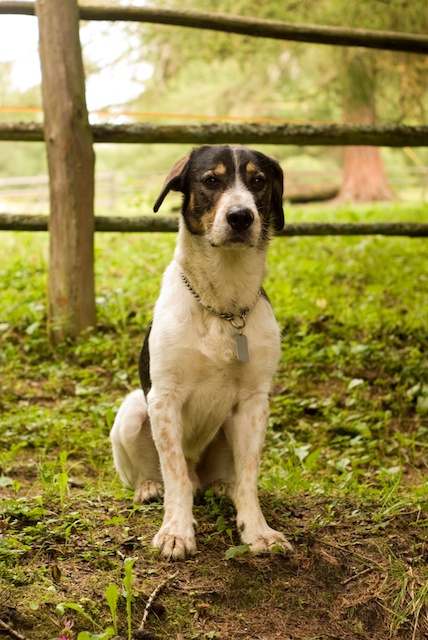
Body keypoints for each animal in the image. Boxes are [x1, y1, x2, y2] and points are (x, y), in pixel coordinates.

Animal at [109, 145, 294, 560]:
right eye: (211, 180)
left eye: (259, 181)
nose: (241, 217)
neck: (223, 307)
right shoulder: (164, 399)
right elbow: (175, 473)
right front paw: (176, 531)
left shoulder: (255, 401)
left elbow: (250, 475)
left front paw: (257, 530)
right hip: (133, 410)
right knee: (161, 474)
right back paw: (148, 487)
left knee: (228, 478)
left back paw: (224, 488)